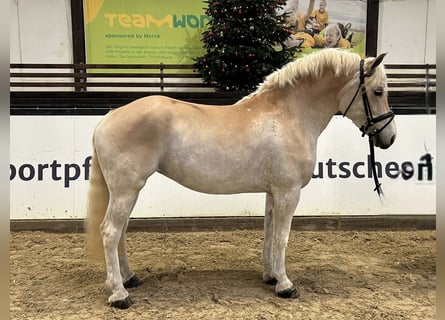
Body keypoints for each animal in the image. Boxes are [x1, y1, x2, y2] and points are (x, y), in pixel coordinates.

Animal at [86, 48, 396, 308]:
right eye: (378, 91)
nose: (389, 138)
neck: (289, 115)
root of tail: (108, 117)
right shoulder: (289, 192)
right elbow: (282, 236)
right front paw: (286, 285)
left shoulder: (274, 192)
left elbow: (270, 232)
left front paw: (271, 275)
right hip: (127, 189)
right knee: (111, 232)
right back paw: (119, 294)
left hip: (127, 191)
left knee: (121, 232)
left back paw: (129, 278)